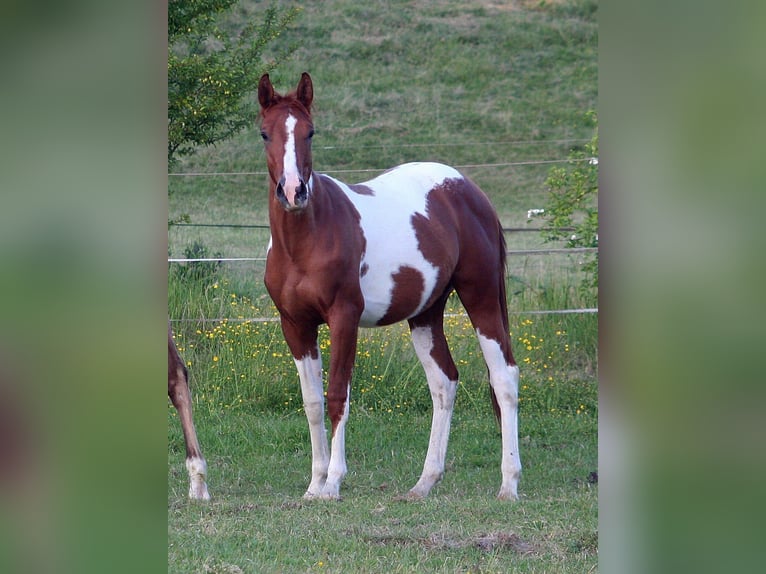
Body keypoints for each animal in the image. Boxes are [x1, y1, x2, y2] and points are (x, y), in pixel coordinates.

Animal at [257, 72, 521, 500]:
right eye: (265, 133)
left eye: (310, 132)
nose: (294, 191)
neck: (307, 239)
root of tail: (467, 189)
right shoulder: (295, 325)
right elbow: (312, 402)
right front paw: (314, 485)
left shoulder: (344, 318)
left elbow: (337, 396)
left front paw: (333, 482)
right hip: (426, 313)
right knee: (444, 383)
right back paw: (424, 483)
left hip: (480, 297)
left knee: (504, 378)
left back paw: (509, 484)